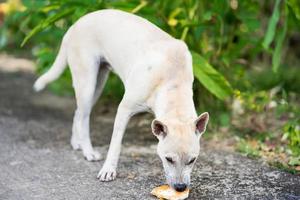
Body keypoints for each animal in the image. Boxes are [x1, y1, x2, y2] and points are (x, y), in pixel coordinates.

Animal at [34, 9, 209, 192]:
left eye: (192, 160)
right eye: (169, 159)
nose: (181, 187)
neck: (171, 81)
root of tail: (75, 25)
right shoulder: (124, 110)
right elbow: (115, 145)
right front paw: (108, 170)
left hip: (98, 84)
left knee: (79, 112)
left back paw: (77, 142)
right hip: (87, 83)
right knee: (83, 116)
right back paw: (88, 151)